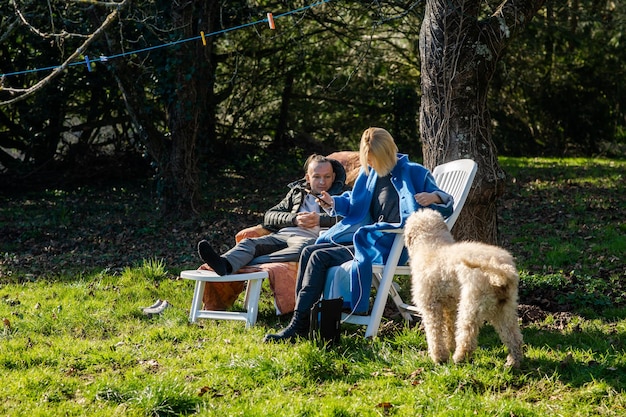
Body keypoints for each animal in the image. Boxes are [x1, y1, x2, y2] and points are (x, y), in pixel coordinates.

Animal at [402, 210, 520, 366]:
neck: (432, 245)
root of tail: (502, 270)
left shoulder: (430, 307)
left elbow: (435, 334)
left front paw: (439, 357)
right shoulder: (450, 306)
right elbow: (450, 328)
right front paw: (450, 346)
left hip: (471, 307)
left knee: (467, 337)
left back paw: (459, 358)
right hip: (505, 308)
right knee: (514, 337)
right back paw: (513, 362)